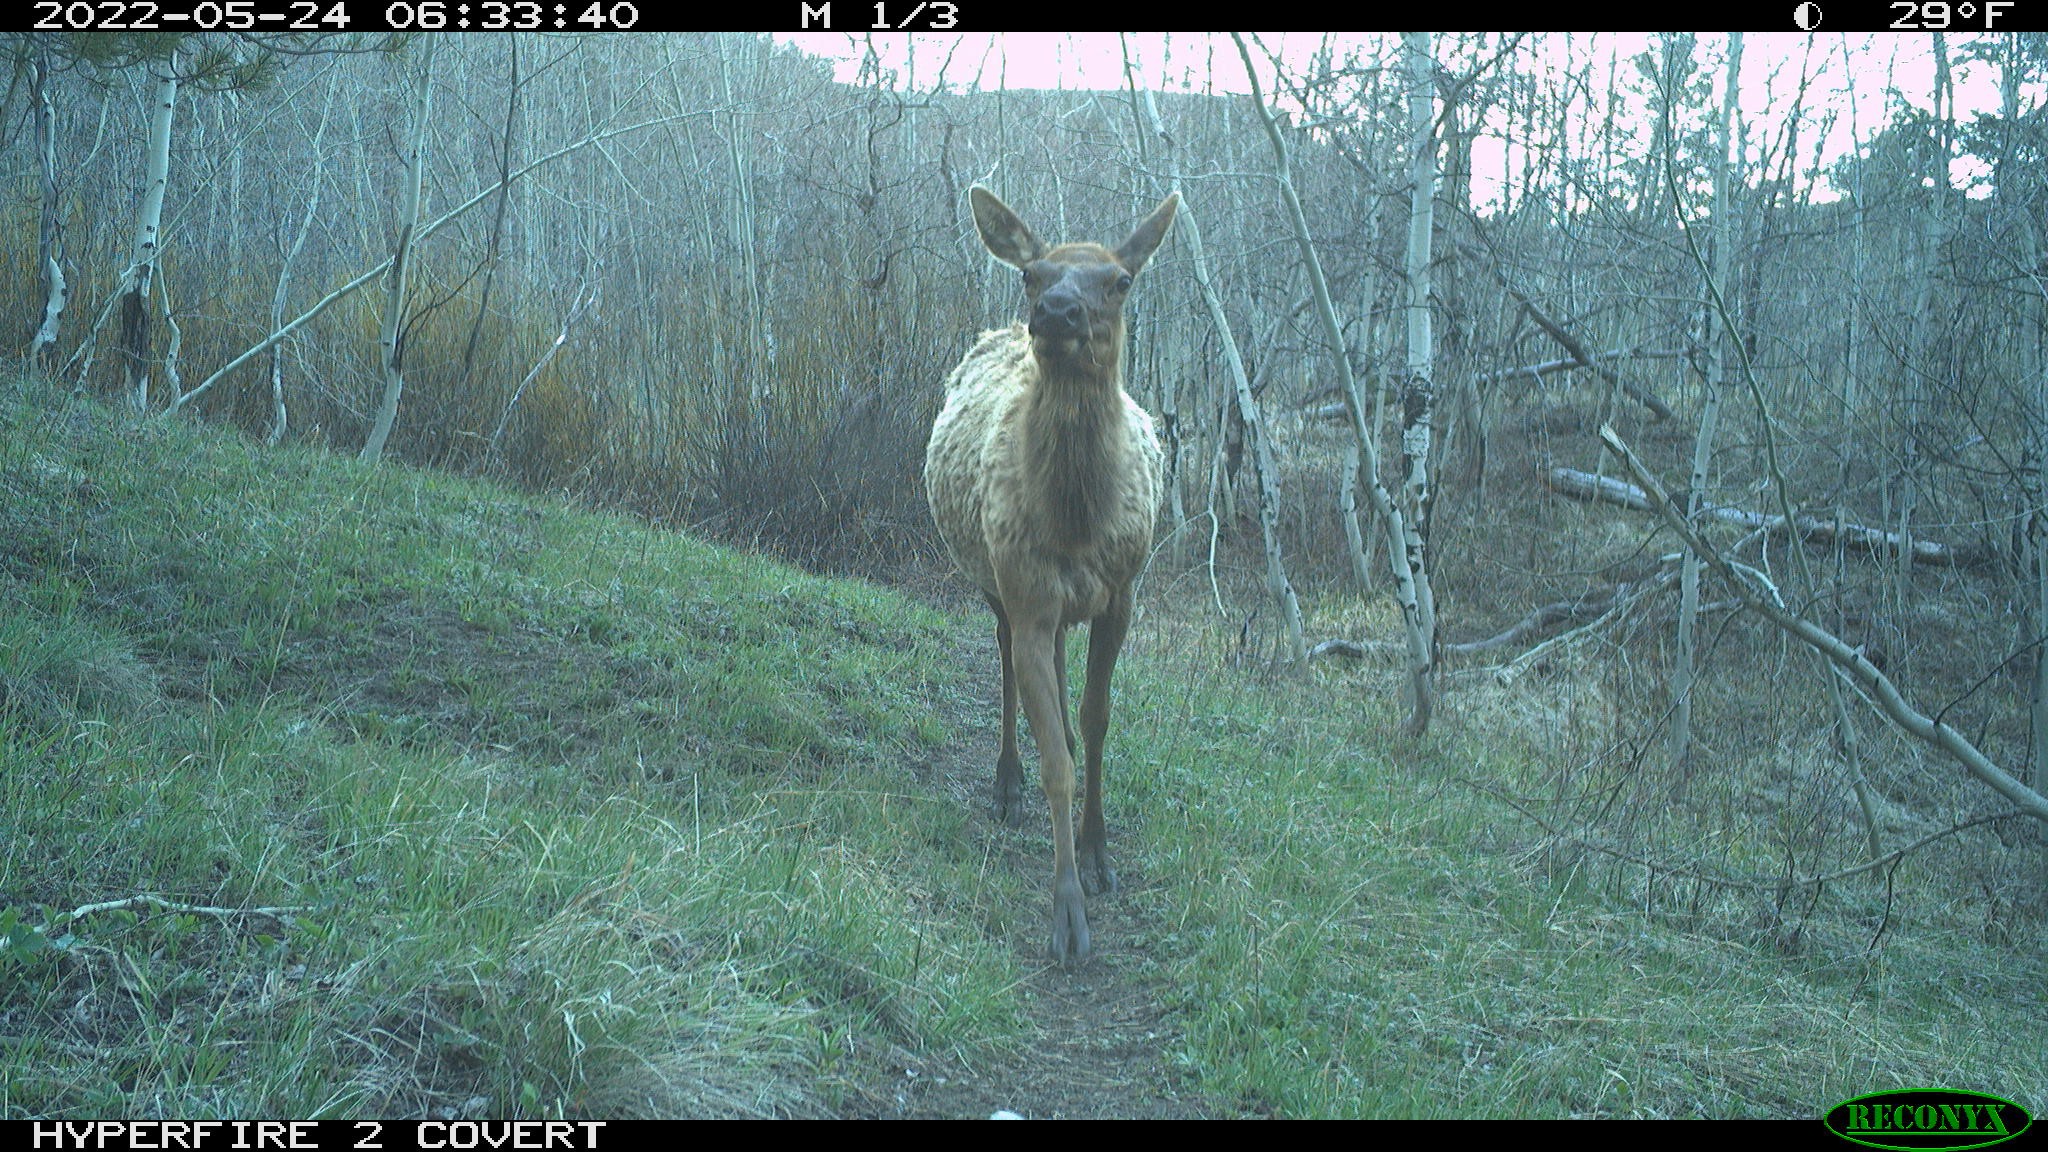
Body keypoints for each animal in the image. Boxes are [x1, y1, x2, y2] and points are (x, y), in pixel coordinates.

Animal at [925, 188, 1179, 959]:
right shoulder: (1027, 592)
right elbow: (1056, 768)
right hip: (992, 578)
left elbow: (1098, 720)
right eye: (1031, 274)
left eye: (1120, 280)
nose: (1059, 311)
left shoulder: (1123, 593)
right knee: (1006, 656)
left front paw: (1098, 853)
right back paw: (1006, 781)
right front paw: (1068, 913)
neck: (1076, 522)